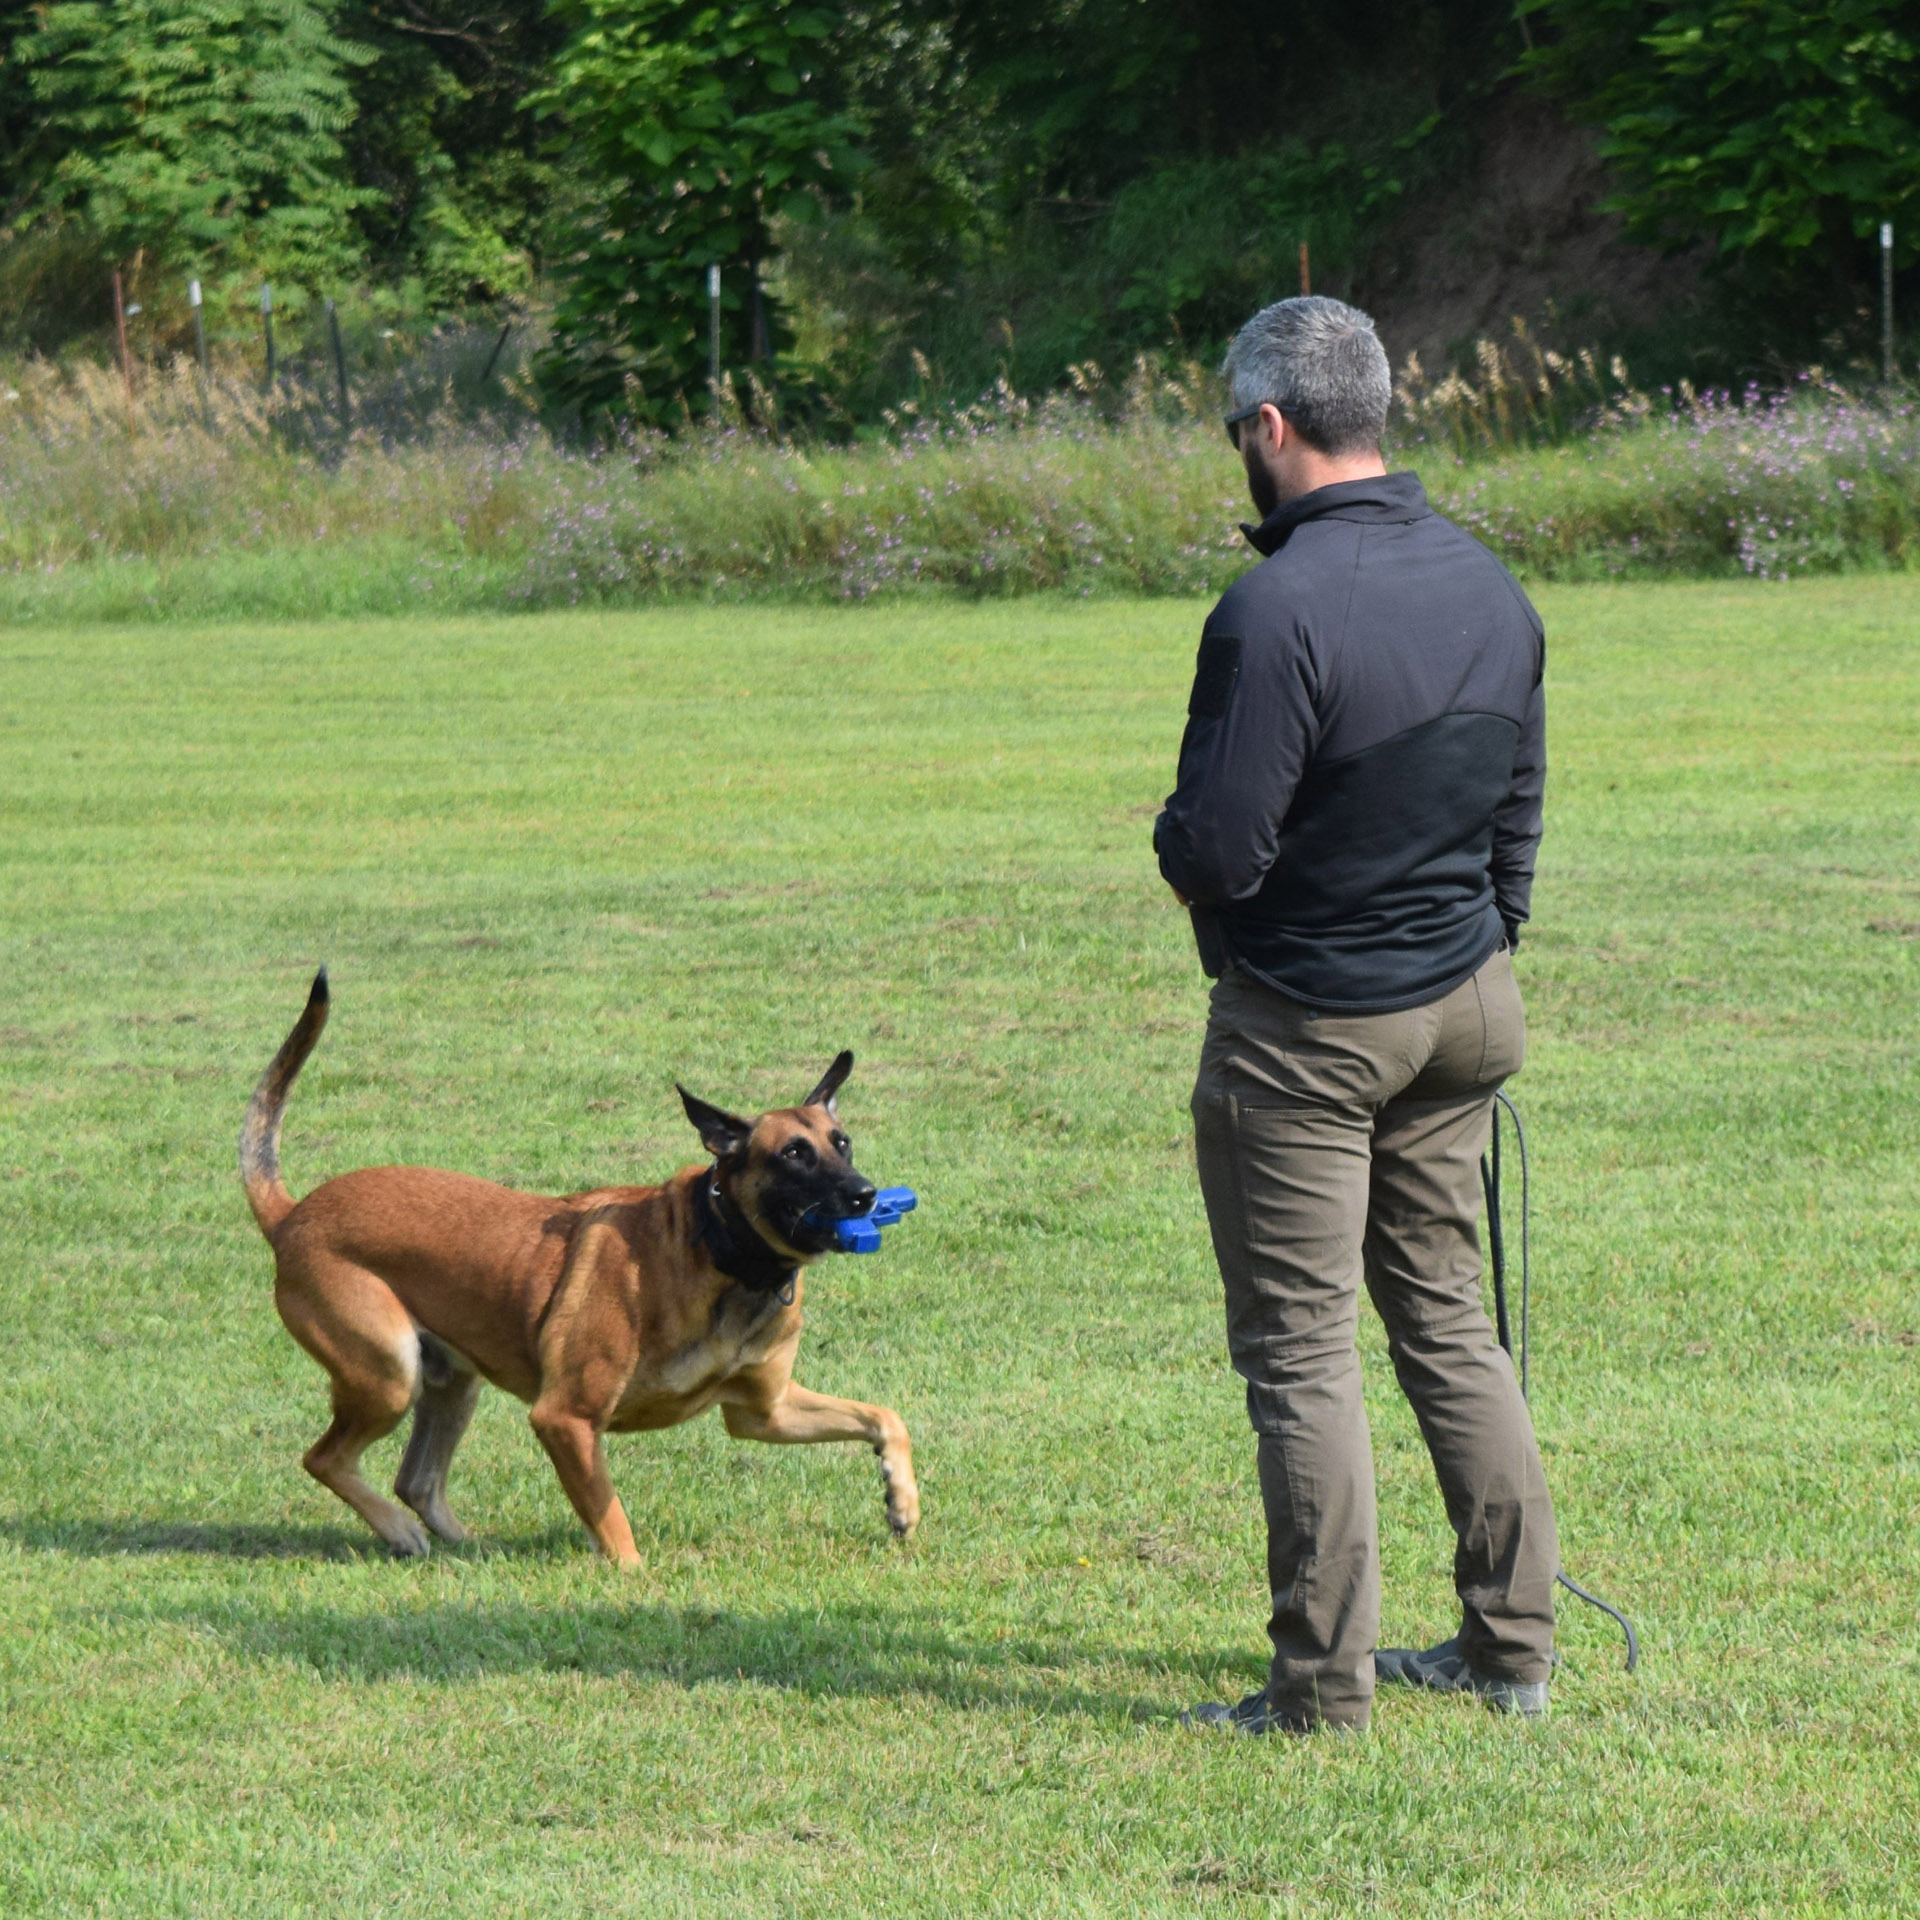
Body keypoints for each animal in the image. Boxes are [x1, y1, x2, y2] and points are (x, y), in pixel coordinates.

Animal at [241, 975, 921, 1559]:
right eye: (793, 1154)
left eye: (842, 1142)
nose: (865, 1195)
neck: (719, 1249)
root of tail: (292, 1214)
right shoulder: (566, 1419)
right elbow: (611, 1520)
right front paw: (634, 1578)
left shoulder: (766, 1412)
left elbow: (885, 1416)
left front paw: (902, 1501)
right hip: (386, 1374)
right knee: (326, 1460)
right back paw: (400, 1533)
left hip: (452, 1381)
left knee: (418, 1480)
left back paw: (468, 1548)